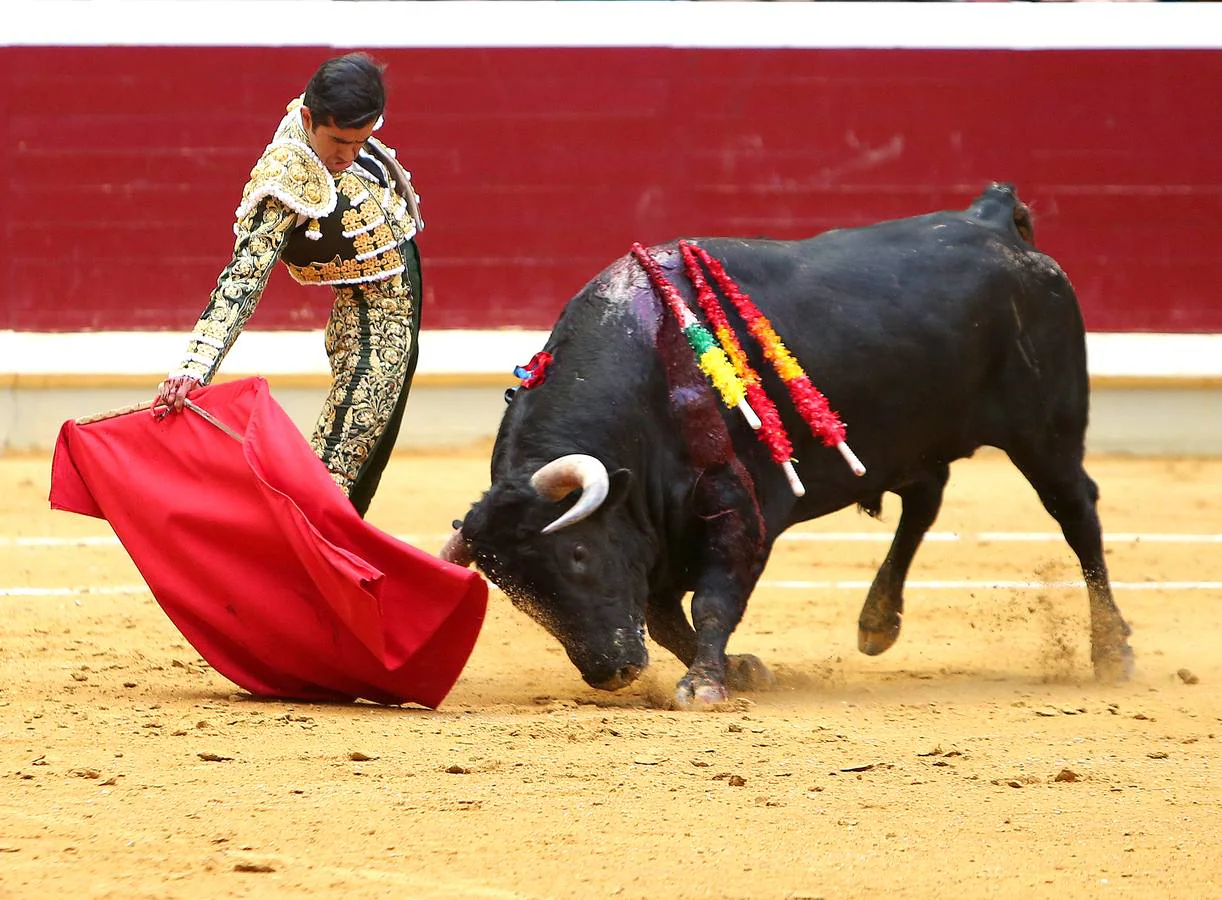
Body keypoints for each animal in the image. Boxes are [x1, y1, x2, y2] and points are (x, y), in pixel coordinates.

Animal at [442, 180, 1134, 704]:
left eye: (579, 555)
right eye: (517, 594)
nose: (611, 671)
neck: (651, 373)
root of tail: (992, 218)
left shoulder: (737, 510)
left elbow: (715, 599)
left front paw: (705, 683)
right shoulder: (655, 537)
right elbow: (665, 618)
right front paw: (739, 671)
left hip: (1046, 431)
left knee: (1077, 513)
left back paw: (1110, 651)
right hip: (913, 435)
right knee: (924, 500)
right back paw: (877, 623)